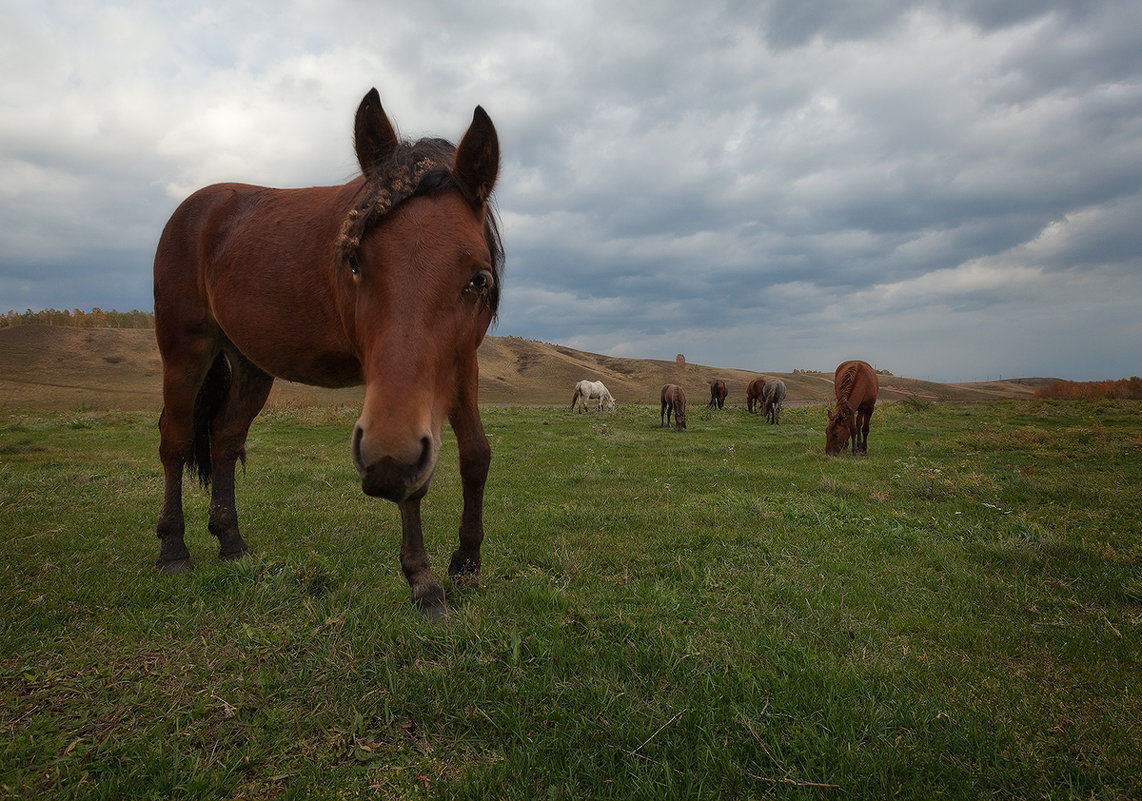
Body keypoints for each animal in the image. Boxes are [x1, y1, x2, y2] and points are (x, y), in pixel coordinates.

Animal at [150, 87, 500, 617]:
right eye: (353, 261)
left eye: (478, 279)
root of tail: (195, 208)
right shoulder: (394, 408)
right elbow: (409, 482)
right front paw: (423, 582)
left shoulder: (460, 364)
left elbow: (475, 455)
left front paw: (467, 561)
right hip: (185, 353)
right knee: (176, 439)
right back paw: (174, 550)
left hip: (251, 367)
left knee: (225, 438)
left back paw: (232, 544)